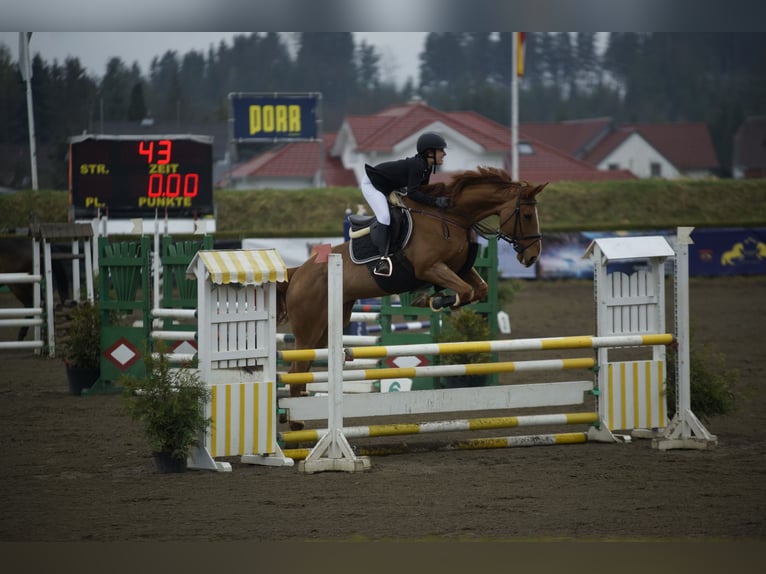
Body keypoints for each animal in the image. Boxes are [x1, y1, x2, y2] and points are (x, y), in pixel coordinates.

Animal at [276, 166, 544, 398]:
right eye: (527, 215)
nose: (532, 256)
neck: (452, 217)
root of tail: (298, 272)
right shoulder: (430, 268)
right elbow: (465, 291)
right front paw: (431, 300)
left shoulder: (460, 268)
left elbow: (478, 289)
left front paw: (433, 299)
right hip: (309, 330)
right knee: (295, 372)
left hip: (327, 327)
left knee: (303, 370)